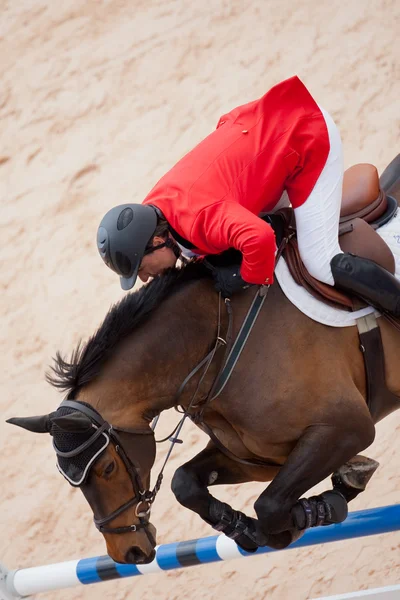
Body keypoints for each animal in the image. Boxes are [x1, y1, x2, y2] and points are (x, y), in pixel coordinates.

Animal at [6, 152, 400, 564]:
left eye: (109, 467)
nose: (127, 553)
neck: (218, 349)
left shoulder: (347, 428)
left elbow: (270, 505)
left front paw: (329, 500)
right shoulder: (259, 459)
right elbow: (187, 483)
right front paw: (244, 528)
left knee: (341, 265)